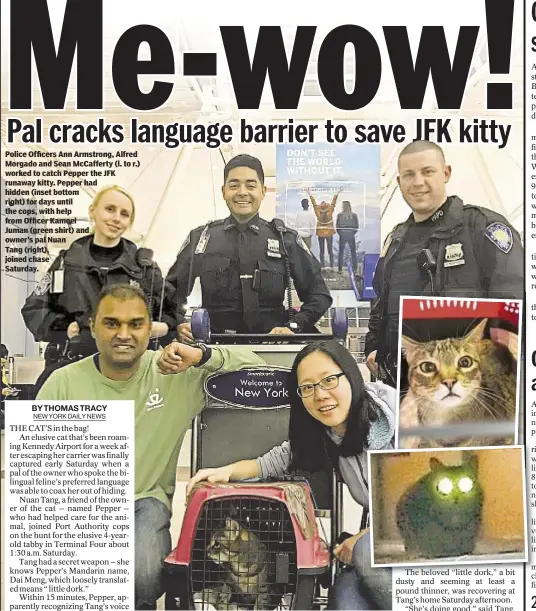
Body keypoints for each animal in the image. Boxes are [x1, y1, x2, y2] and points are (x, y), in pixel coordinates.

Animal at [163, 482, 330, 611]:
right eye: (209, 542)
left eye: (216, 544)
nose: (207, 551)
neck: (239, 568)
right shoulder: (226, 584)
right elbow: (222, 601)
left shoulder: (263, 589)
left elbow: (259, 605)